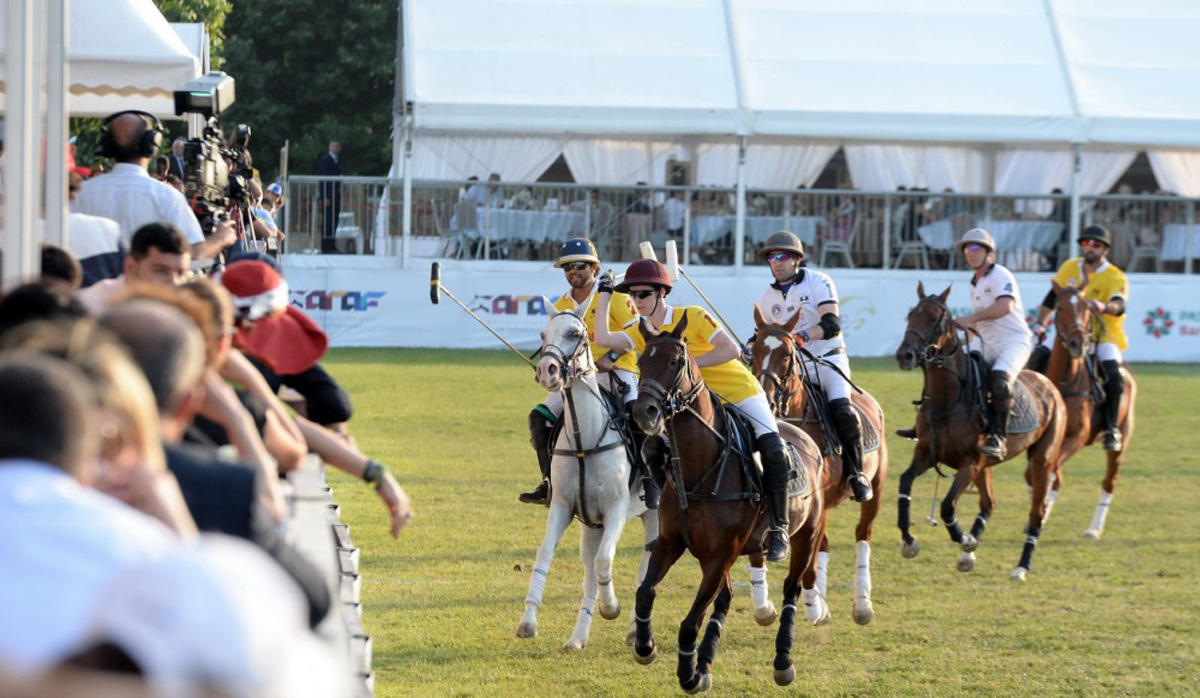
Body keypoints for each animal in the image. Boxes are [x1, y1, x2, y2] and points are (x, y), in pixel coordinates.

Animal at [513, 303, 657, 652]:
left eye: (575, 333)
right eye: (543, 335)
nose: (547, 370)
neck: (584, 439)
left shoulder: (616, 509)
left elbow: (605, 560)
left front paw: (612, 607)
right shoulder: (564, 507)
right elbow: (545, 554)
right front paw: (528, 622)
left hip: (654, 514)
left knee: (644, 560)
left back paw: (633, 629)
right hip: (591, 525)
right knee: (589, 567)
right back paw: (577, 638)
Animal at [628, 316, 825, 695]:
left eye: (674, 362)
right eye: (642, 361)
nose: (644, 412)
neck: (699, 469)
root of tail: (804, 437)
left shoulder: (720, 555)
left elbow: (690, 622)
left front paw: (688, 674)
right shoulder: (673, 543)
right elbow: (645, 591)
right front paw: (646, 647)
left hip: (806, 534)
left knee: (791, 588)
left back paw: (783, 661)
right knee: (726, 598)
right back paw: (705, 663)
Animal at [748, 309, 892, 628]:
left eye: (788, 354)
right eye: (755, 349)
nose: (765, 398)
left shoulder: (818, 497)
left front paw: (813, 605)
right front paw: (770, 606)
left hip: (876, 486)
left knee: (863, 533)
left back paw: (861, 605)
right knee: (824, 544)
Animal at [892, 281, 1070, 582]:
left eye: (935, 319)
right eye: (910, 314)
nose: (905, 355)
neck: (948, 399)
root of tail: (1048, 383)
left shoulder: (970, 462)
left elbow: (947, 505)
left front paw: (963, 538)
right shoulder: (926, 452)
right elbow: (905, 483)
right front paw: (909, 541)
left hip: (1041, 459)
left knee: (1037, 512)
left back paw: (1021, 566)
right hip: (988, 465)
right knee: (989, 503)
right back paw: (969, 555)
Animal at [1046, 281, 1137, 539]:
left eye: (1088, 308)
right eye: (1059, 306)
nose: (1078, 344)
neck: (1065, 382)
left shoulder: (1078, 436)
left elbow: (1053, 471)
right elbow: (1052, 473)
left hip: (1121, 441)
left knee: (1109, 482)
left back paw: (1094, 529)